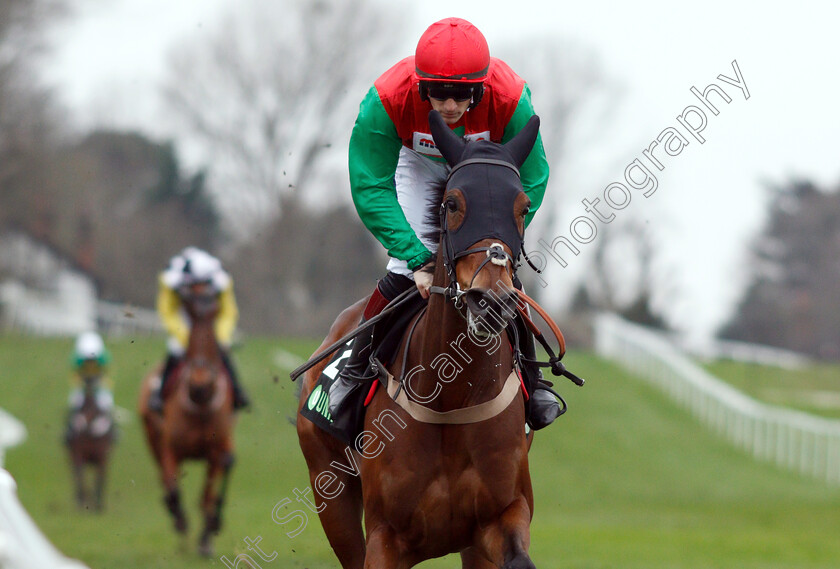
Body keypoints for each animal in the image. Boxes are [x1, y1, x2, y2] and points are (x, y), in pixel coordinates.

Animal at [66, 370, 115, 512]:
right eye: (82, 407)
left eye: (95, 409)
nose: (82, 424)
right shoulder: (78, 453)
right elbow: (80, 476)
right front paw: (82, 501)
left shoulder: (103, 456)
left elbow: (99, 479)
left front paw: (98, 505)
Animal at [139, 282, 236, 556]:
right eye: (189, 309)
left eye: (214, 312)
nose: (200, 384)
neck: (201, 406)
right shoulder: (171, 450)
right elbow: (173, 490)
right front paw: (180, 520)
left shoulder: (216, 450)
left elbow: (208, 495)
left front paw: (206, 536)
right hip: (152, 438)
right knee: (163, 478)